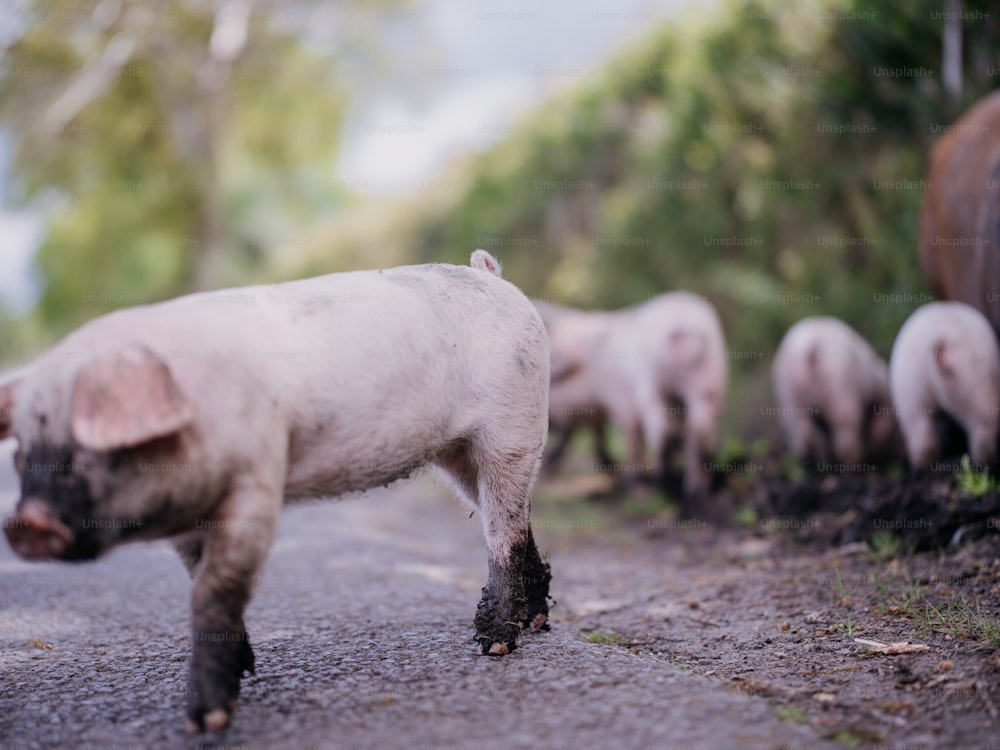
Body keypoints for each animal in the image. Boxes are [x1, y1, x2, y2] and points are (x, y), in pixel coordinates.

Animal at [0, 251, 556, 736]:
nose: (26, 524)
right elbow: (198, 579)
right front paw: (243, 674)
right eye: (22, 451)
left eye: (95, 445)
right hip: (455, 453)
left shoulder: (258, 480)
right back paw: (534, 623)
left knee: (502, 530)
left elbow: (215, 588)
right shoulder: (188, 519)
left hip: (514, 425)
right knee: (516, 517)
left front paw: (205, 723)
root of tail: (491, 275)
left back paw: (494, 646)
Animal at [768, 318, 904, 470]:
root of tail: (811, 352)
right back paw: (852, 466)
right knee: (846, 427)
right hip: (840, 385)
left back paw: (818, 464)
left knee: (802, 433)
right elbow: (880, 430)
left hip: (788, 394)